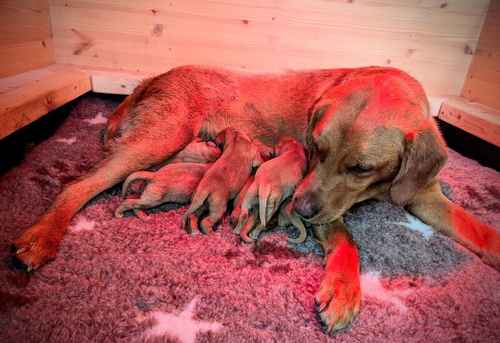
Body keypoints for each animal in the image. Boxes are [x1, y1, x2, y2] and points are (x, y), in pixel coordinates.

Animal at [12, 65, 500, 336]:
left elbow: (481, 231)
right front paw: (343, 291)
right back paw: (42, 236)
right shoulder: (320, 202)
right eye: (316, 148)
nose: (299, 211)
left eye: (361, 167)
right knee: (78, 186)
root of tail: (151, 79)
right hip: (158, 138)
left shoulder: (420, 191)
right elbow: (348, 240)